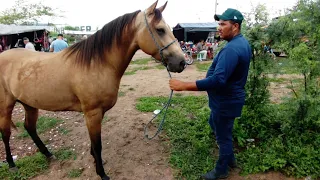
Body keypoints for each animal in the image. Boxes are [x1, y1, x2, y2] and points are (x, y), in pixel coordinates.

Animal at [0, 0, 186, 179]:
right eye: (160, 29)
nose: (182, 62)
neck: (97, 64)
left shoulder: (99, 112)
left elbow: (94, 144)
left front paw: (97, 161)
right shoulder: (93, 112)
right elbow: (98, 145)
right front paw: (102, 173)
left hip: (29, 103)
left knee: (30, 127)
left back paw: (48, 154)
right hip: (6, 106)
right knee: (6, 133)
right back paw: (12, 164)